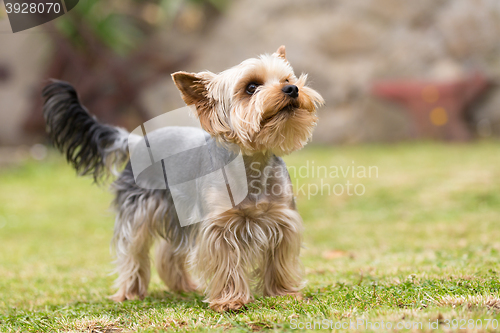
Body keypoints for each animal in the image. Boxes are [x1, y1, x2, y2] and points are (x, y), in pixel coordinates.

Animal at [43, 45, 324, 310]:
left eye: (287, 78)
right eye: (251, 87)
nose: (292, 89)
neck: (253, 162)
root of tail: (135, 140)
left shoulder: (281, 220)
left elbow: (279, 260)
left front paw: (283, 293)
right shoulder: (219, 227)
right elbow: (226, 263)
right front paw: (230, 301)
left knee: (168, 252)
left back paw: (182, 286)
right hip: (139, 211)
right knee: (133, 251)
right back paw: (130, 292)